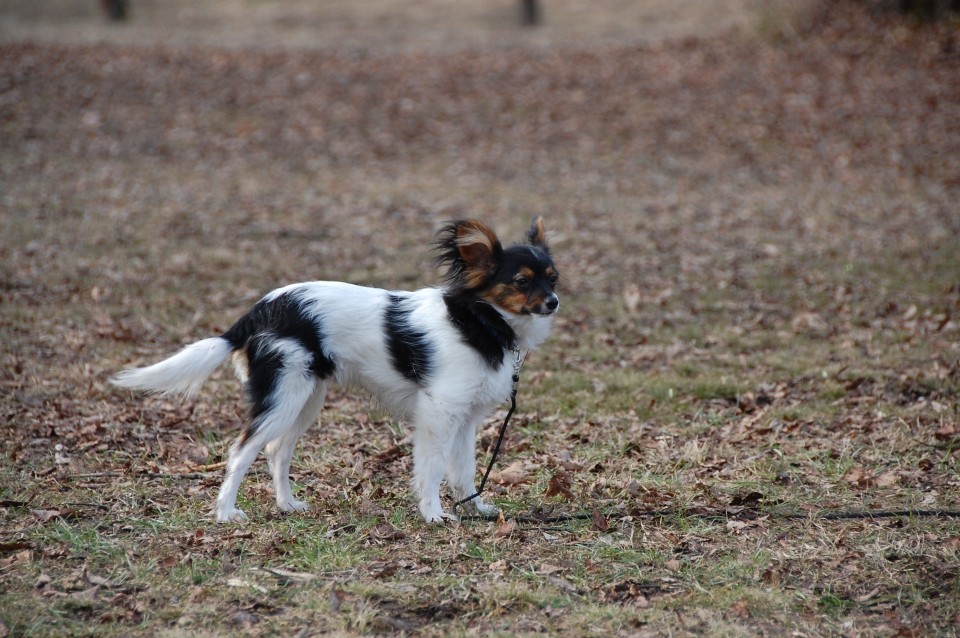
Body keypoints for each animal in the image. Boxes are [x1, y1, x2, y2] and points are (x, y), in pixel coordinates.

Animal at [112, 220, 560, 524]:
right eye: (521, 282)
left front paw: (476, 507)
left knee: (277, 452)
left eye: (554, 279)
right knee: (242, 452)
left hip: (305, 400)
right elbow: (432, 468)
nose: (554, 302)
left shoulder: (466, 419)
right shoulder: (438, 413)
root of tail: (258, 311)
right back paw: (226, 512)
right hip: (282, 398)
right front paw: (433, 514)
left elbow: (464, 472)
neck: (481, 322)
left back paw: (287, 504)